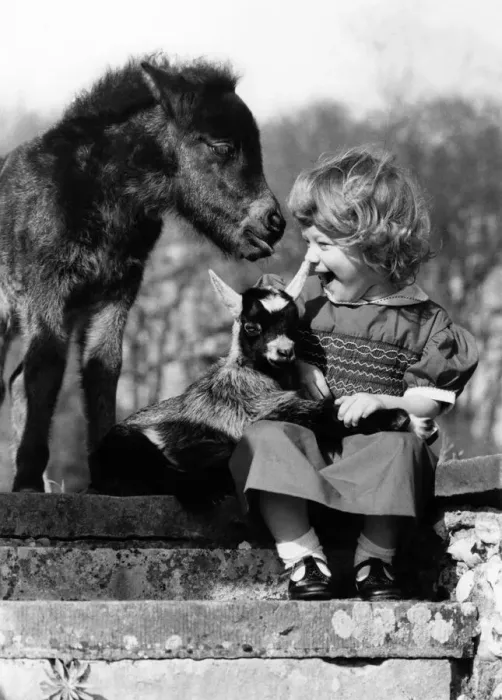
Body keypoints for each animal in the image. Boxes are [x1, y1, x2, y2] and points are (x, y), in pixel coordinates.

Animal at [0, 53, 285, 492]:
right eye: (222, 146)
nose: (275, 223)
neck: (102, 194)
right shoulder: (48, 288)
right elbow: (45, 368)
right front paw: (28, 484)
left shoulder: (117, 292)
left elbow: (102, 369)